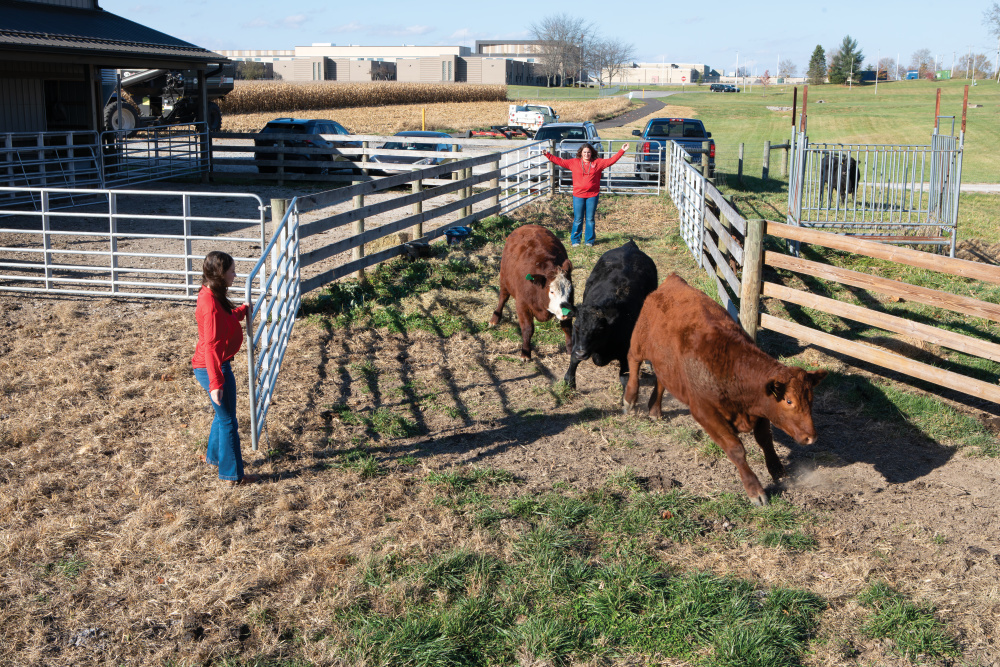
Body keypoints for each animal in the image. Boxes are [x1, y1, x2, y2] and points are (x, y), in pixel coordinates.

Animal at [488, 224, 575, 360]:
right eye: (551, 291)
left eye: (570, 289)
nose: (568, 312)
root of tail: (529, 226)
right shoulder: (522, 305)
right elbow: (528, 329)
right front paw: (525, 353)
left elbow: (567, 327)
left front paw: (571, 350)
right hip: (504, 280)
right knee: (503, 298)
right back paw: (494, 319)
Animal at [563, 240, 658, 388]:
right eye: (576, 327)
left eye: (599, 329)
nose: (581, 353)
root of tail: (629, 246)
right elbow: (573, 358)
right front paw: (569, 380)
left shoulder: (626, 354)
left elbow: (625, 377)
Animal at [623, 273, 827, 506]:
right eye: (789, 401)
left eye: (811, 400)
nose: (811, 437)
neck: (731, 369)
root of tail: (673, 281)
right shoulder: (705, 412)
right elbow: (736, 449)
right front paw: (755, 490)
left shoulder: (760, 410)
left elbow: (765, 440)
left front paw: (778, 470)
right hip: (639, 341)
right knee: (633, 362)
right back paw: (629, 398)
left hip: (666, 361)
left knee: (662, 379)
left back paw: (655, 410)